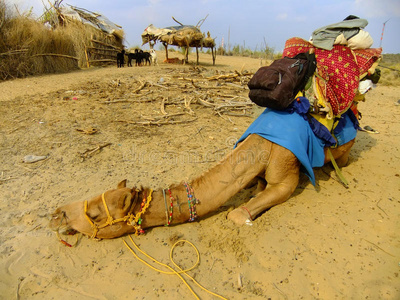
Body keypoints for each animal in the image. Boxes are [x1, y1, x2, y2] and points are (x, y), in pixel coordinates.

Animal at [49, 127, 354, 240]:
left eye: (94, 214)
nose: (57, 213)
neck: (262, 144)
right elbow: (255, 186)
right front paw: (253, 189)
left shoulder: (285, 171)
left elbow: (240, 212)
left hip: (344, 150)